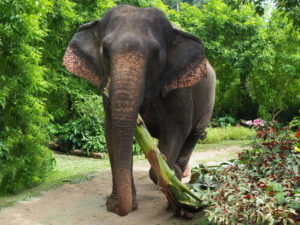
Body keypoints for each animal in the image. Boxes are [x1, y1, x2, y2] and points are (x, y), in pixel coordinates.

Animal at [62, 4, 216, 216]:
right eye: (105, 52)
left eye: (156, 56)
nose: (121, 210)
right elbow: (111, 130)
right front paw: (115, 204)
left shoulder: (179, 89)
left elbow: (177, 129)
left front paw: (170, 179)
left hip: (209, 103)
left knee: (192, 135)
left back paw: (180, 173)